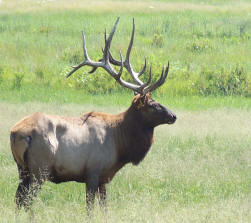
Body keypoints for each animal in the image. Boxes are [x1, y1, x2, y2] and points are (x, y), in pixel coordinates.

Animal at [10, 17, 176, 213]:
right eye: (152, 104)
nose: (173, 115)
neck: (120, 143)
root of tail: (14, 133)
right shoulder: (92, 172)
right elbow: (89, 208)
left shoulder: (104, 177)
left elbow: (104, 208)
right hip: (39, 169)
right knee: (27, 201)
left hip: (22, 170)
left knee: (18, 199)